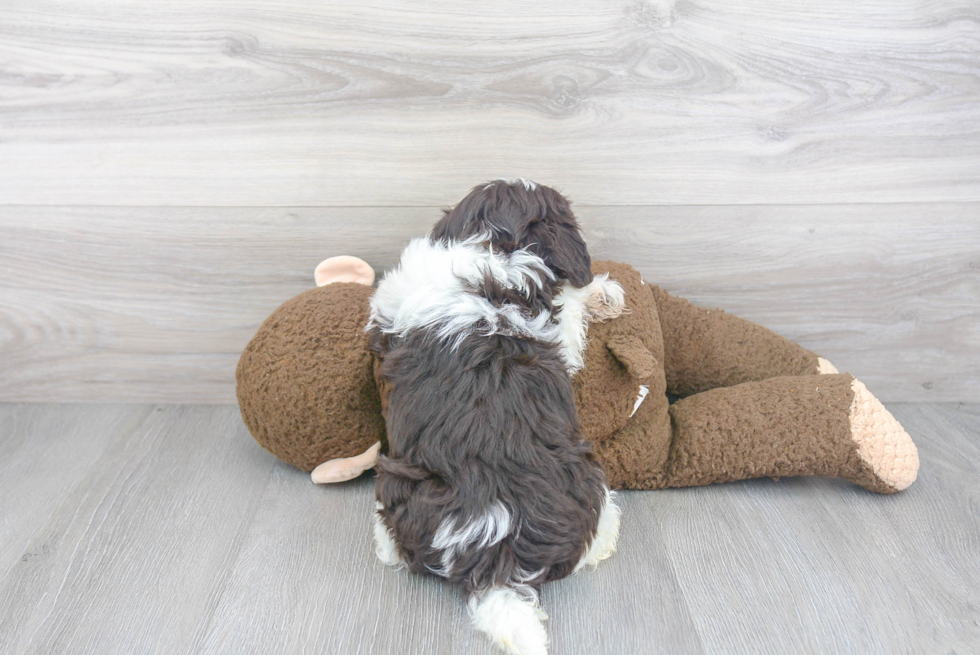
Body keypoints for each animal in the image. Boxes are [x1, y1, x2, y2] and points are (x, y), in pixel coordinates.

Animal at [364, 181, 624, 655]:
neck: (492, 246)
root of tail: (495, 558)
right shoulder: (561, 333)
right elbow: (573, 303)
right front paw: (600, 291)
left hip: (396, 481)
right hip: (592, 482)